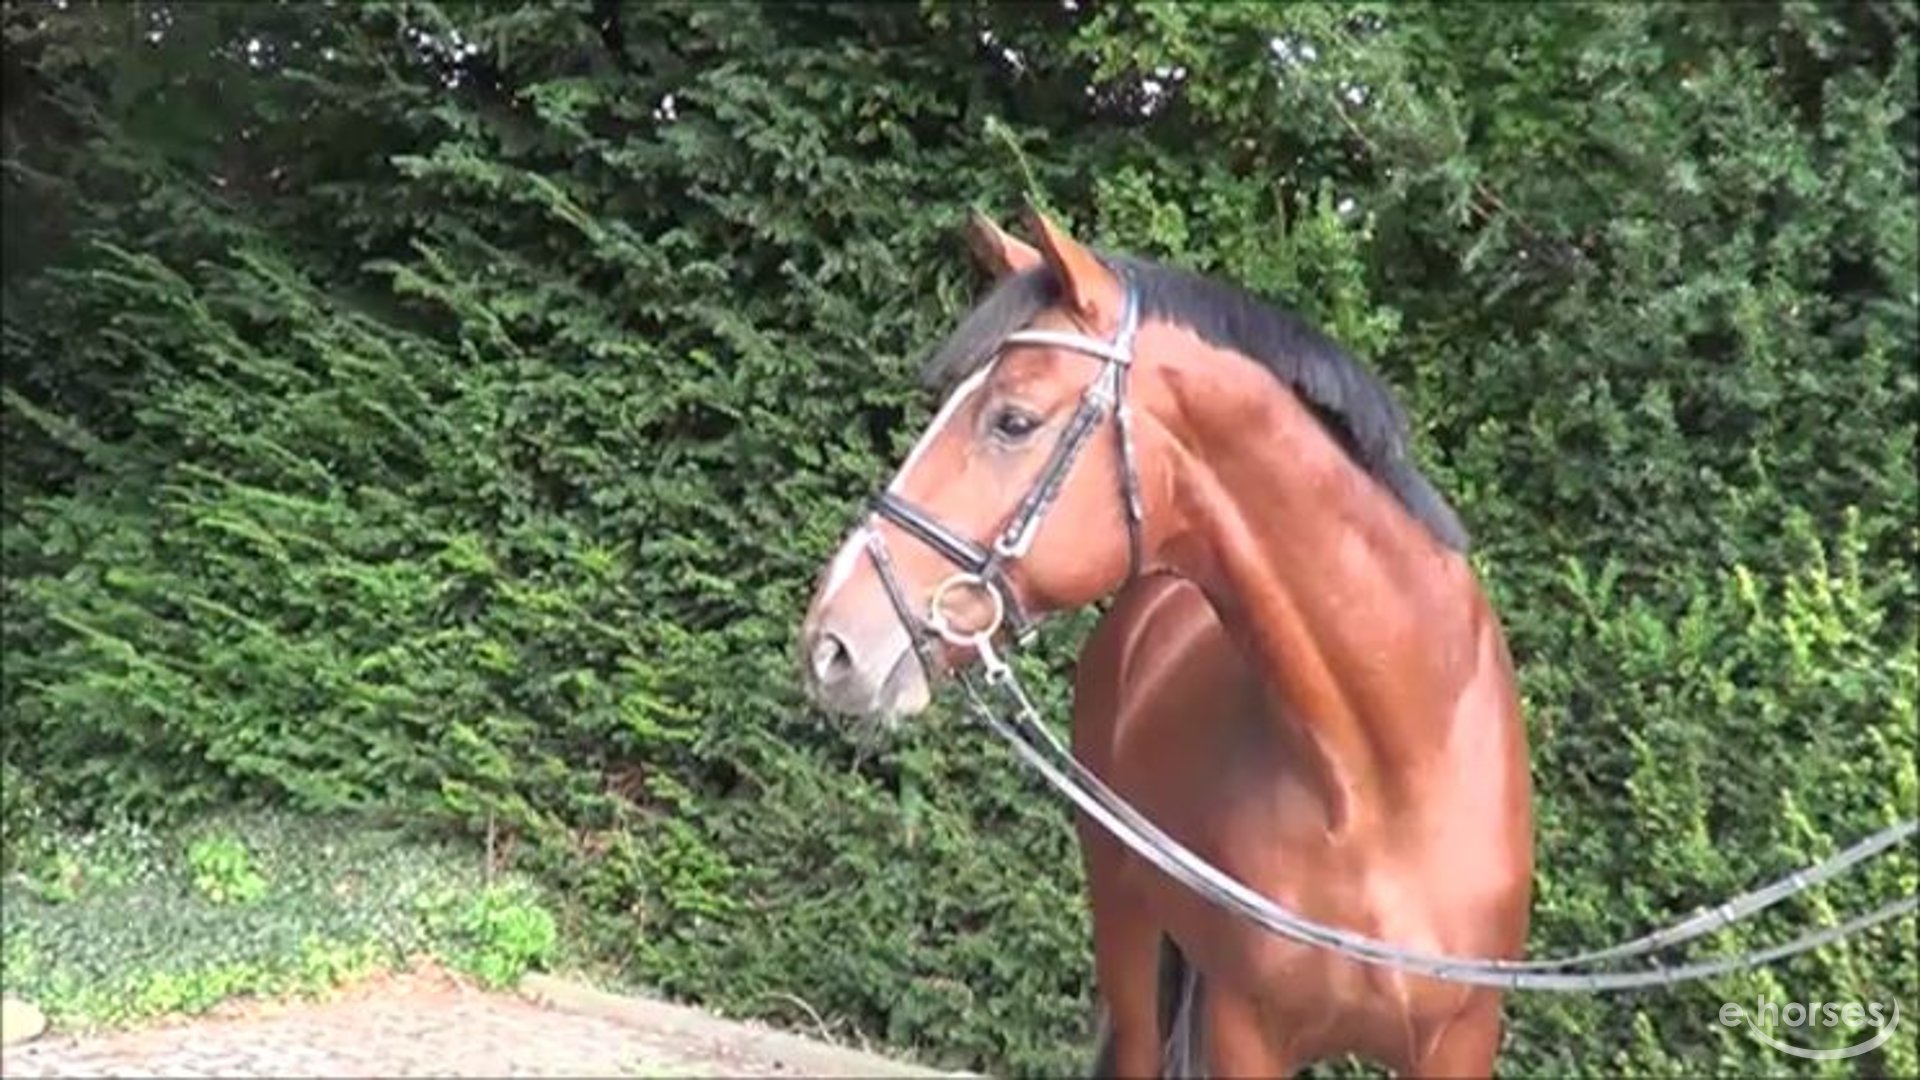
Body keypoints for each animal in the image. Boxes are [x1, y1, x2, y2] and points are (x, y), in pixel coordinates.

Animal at [794, 205, 1528, 1068]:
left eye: (1013, 420)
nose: (830, 641)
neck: (1386, 777)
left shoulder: (1460, 1044)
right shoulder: (1247, 1031)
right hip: (1127, 932)